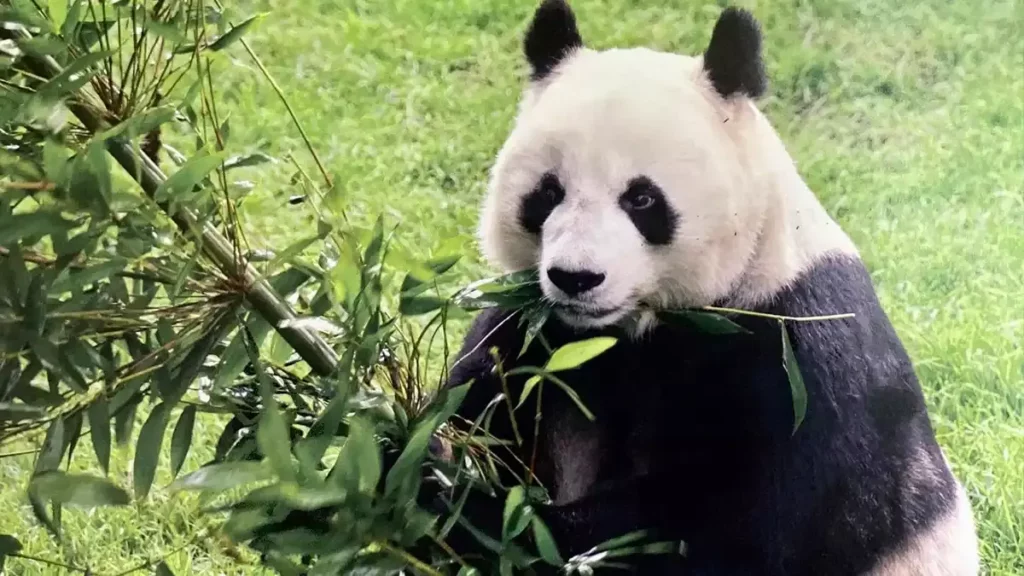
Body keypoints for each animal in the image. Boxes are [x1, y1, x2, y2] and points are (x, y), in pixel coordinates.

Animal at [433, 2, 980, 574]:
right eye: (547, 192)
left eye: (642, 199)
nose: (576, 278)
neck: (629, 330)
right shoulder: (532, 333)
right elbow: (480, 404)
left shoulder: (798, 358)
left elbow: (728, 528)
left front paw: (472, 507)